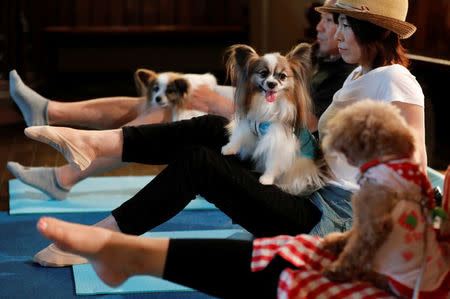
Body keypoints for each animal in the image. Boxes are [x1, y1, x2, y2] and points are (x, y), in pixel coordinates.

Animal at [221, 43, 326, 196]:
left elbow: (274, 161)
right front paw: (229, 148)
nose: (271, 84)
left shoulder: (278, 140)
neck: (268, 105)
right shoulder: (249, 123)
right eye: (263, 73)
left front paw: (266, 179)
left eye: (282, 76)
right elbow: (238, 136)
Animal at [322, 101, 448, 298]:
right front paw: (334, 242)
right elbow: (351, 235)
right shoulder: (363, 218)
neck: (384, 163)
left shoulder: (373, 224)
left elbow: (355, 250)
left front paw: (336, 270)